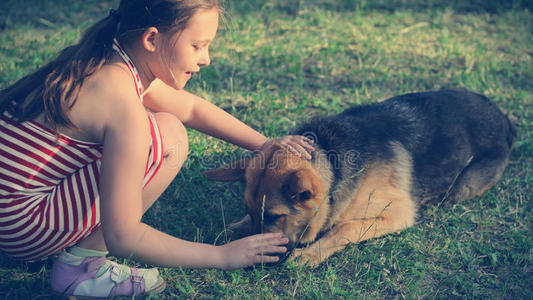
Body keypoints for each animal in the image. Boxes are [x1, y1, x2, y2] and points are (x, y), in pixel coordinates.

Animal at [204, 89, 516, 268]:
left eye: (275, 216)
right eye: (250, 210)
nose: (253, 265)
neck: (330, 155)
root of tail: (504, 118)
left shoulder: (397, 213)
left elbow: (347, 227)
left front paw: (312, 254)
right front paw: (237, 227)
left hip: (463, 186)